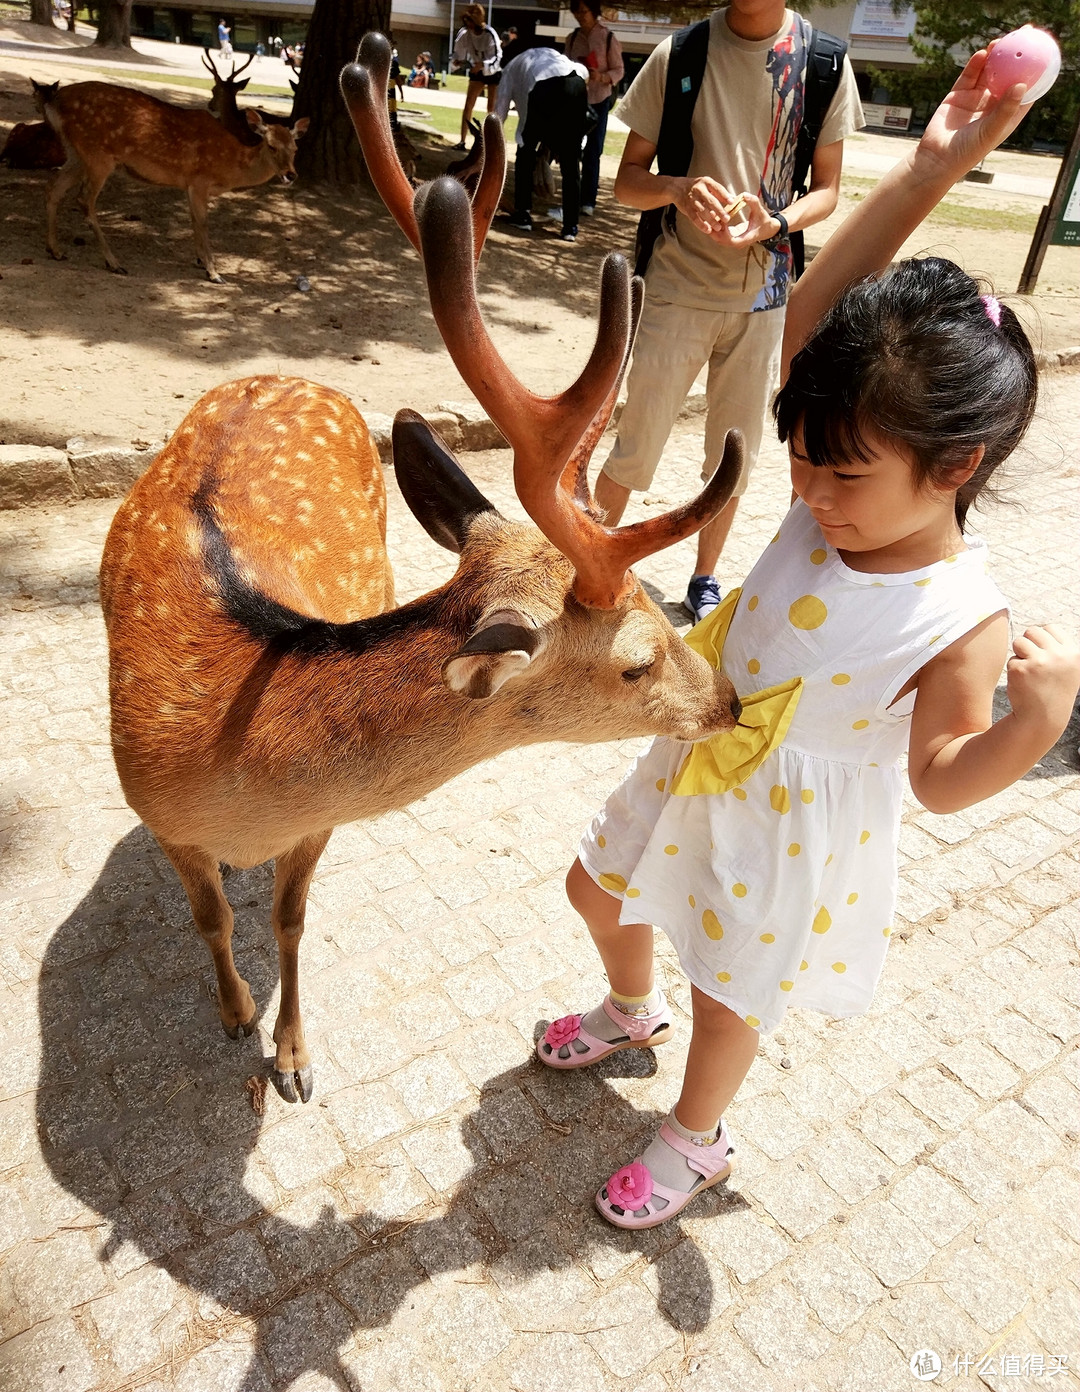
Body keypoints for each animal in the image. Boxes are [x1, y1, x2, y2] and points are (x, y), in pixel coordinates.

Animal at [40, 81, 306, 282]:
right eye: (271, 146)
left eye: (295, 148)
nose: (290, 174)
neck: (230, 166)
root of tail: (54, 103)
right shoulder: (199, 180)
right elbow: (203, 222)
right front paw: (214, 272)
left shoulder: (189, 185)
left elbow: (193, 221)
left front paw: (201, 261)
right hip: (98, 155)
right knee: (84, 199)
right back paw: (114, 262)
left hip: (76, 153)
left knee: (54, 186)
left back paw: (56, 250)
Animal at [98, 27, 740, 1102]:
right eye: (637, 661)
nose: (730, 701)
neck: (235, 774)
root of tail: (284, 371)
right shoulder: (160, 819)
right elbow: (211, 916)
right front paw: (237, 1017)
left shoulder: (314, 829)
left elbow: (289, 919)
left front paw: (294, 1057)